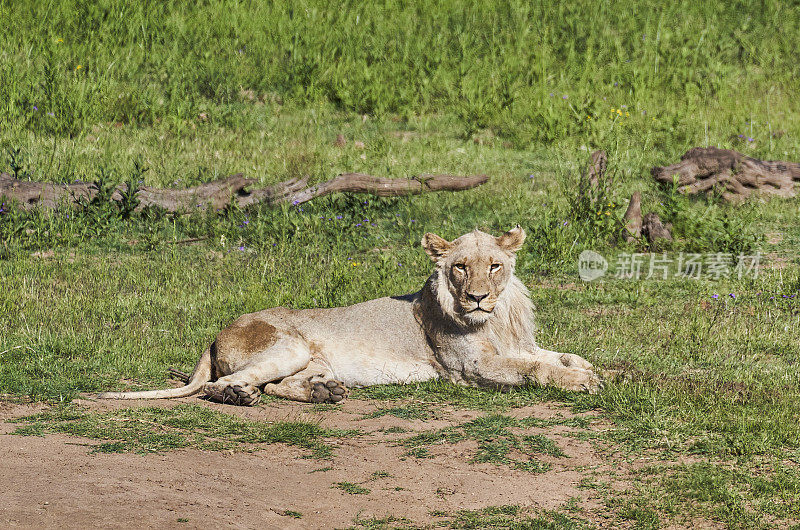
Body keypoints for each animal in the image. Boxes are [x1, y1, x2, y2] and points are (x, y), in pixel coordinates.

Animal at [98, 224, 600, 404]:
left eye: (495, 266)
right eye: (460, 267)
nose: (477, 297)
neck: (496, 318)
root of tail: (217, 332)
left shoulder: (518, 344)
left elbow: (558, 355)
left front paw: (590, 369)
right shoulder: (473, 368)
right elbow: (536, 369)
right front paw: (582, 382)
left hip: (306, 360)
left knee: (276, 386)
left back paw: (325, 392)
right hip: (289, 345)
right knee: (221, 385)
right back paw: (238, 396)